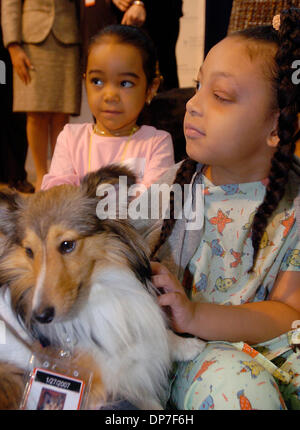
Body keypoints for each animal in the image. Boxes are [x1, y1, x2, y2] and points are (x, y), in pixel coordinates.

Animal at [0, 165, 205, 410]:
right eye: (29, 251)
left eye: (67, 245)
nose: (40, 316)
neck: (96, 298)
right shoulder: (100, 385)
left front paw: (189, 345)